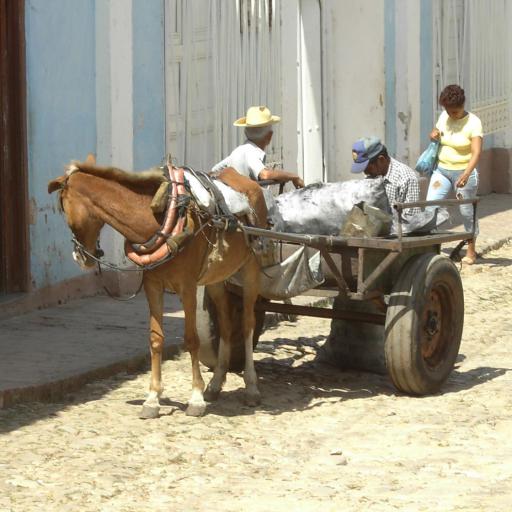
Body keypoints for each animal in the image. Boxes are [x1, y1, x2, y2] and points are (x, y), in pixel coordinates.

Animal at [49, 157, 264, 420]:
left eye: (62, 207)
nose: (80, 257)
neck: (158, 217)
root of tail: (248, 182)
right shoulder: (153, 286)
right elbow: (155, 339)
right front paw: (152, 399)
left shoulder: (187, 287)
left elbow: (191, 339)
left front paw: (195, 398)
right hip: (216, 278)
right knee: (226, 323)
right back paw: (215, 384)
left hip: (250, 270)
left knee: (247, 324)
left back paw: (251, 387)